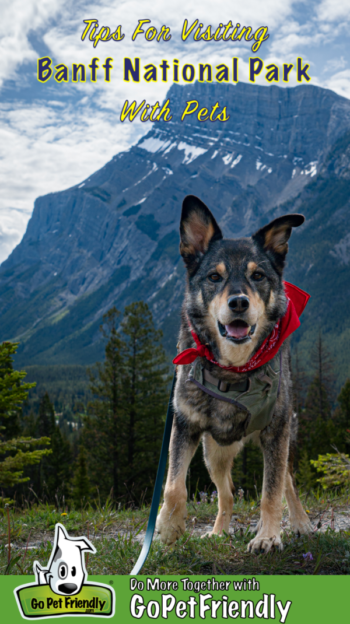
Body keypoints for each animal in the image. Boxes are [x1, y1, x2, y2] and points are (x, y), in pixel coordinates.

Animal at [156, 194, 312, 552]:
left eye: (258, 276)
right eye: (214, 277)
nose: (239, 302)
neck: (233, 368)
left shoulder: (276, 431)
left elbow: (271, 492)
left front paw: (268, 536)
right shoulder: (184, 425)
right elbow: (173, 486)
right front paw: (168, 528)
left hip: (281, 439)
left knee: (288, 483)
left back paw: (301, 523)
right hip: (214, 452)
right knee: (225, 494)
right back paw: (218, 532)